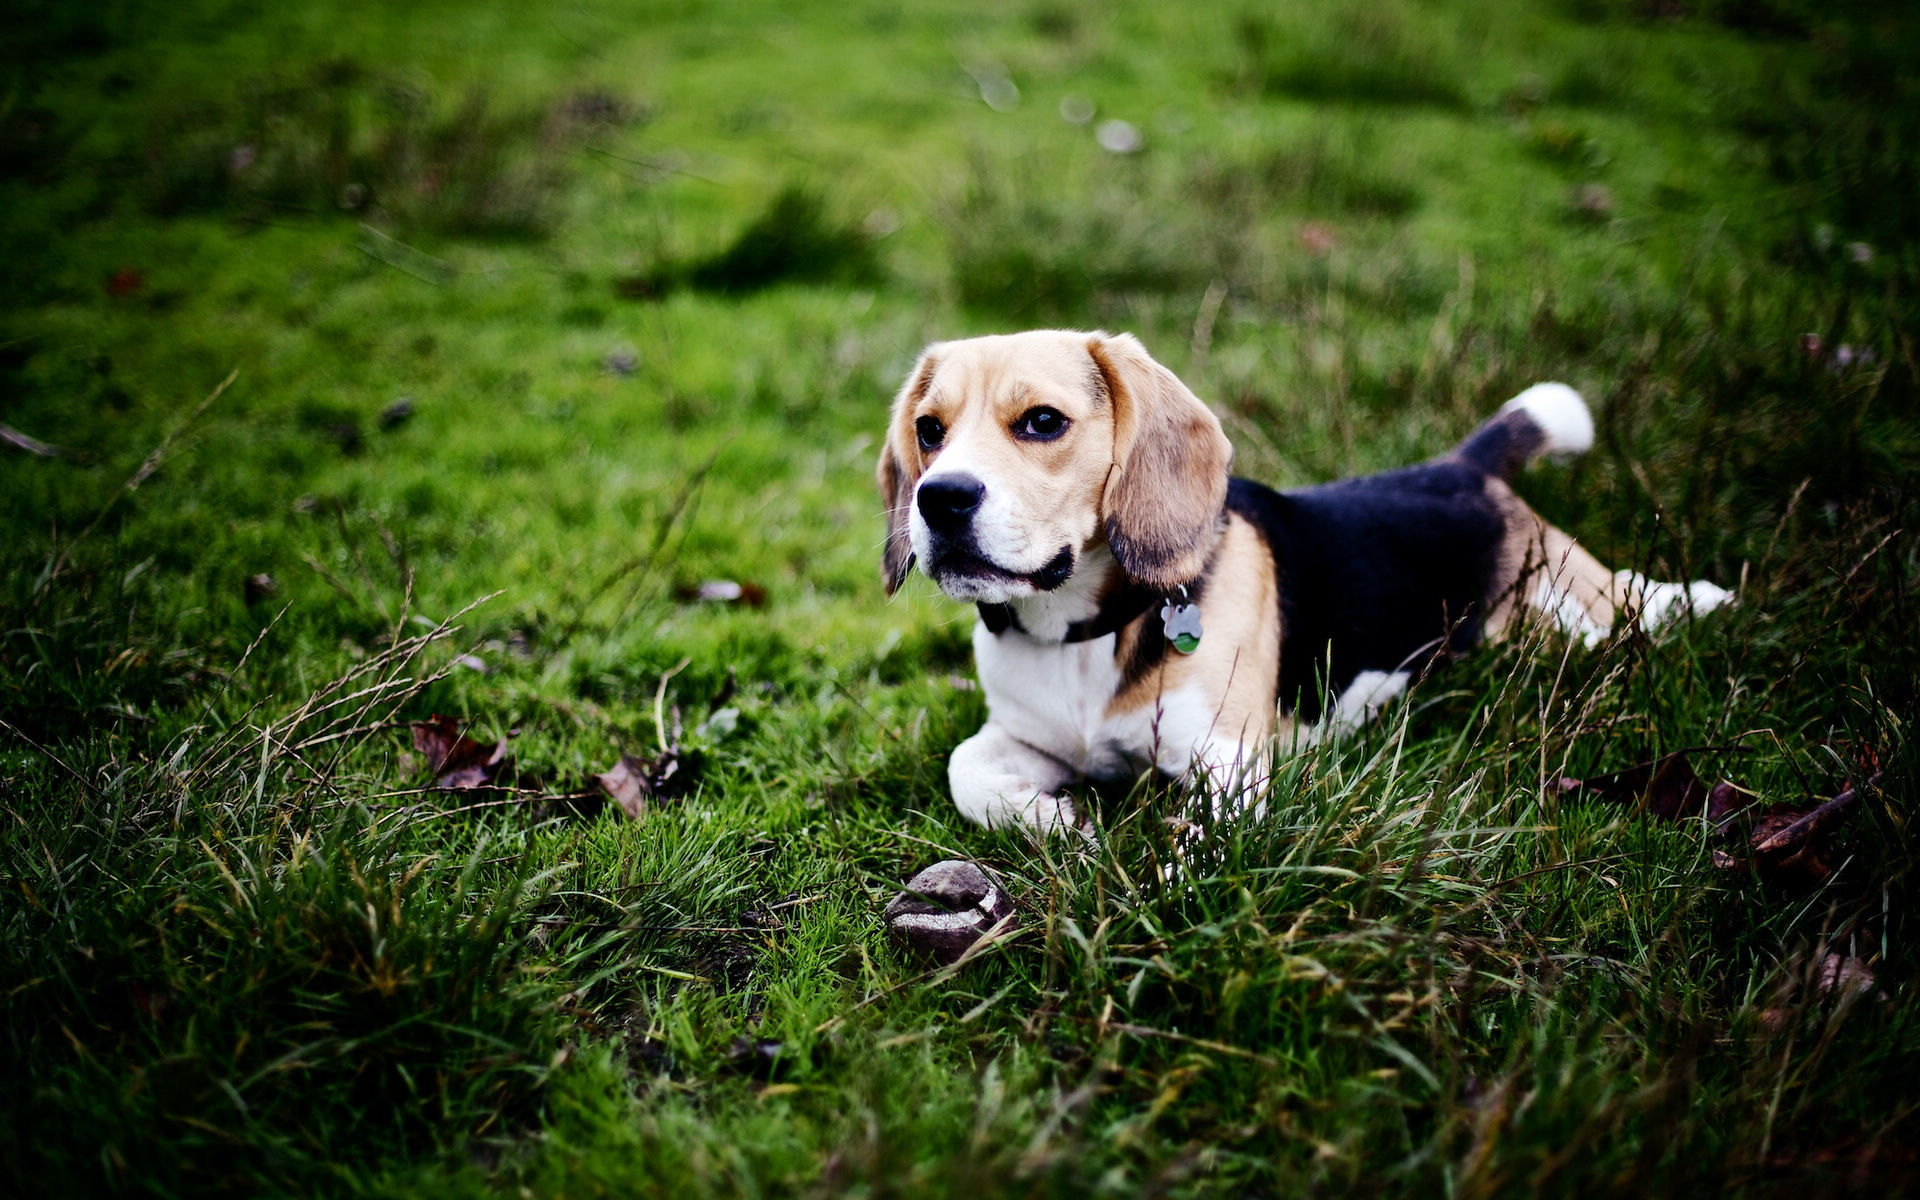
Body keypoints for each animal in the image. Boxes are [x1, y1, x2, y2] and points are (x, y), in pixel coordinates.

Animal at [879, 330, 1735, 833]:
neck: (1079, 631)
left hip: (1577, 607)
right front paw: (1056, 820)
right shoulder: (1025, 737)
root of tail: (1463, 466)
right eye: (929, 430)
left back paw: (1699, 599)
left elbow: (1200, 849)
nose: (940, 499)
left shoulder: (1229, 766)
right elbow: (965, 772)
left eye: (1043, 422)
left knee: (1630, 601)